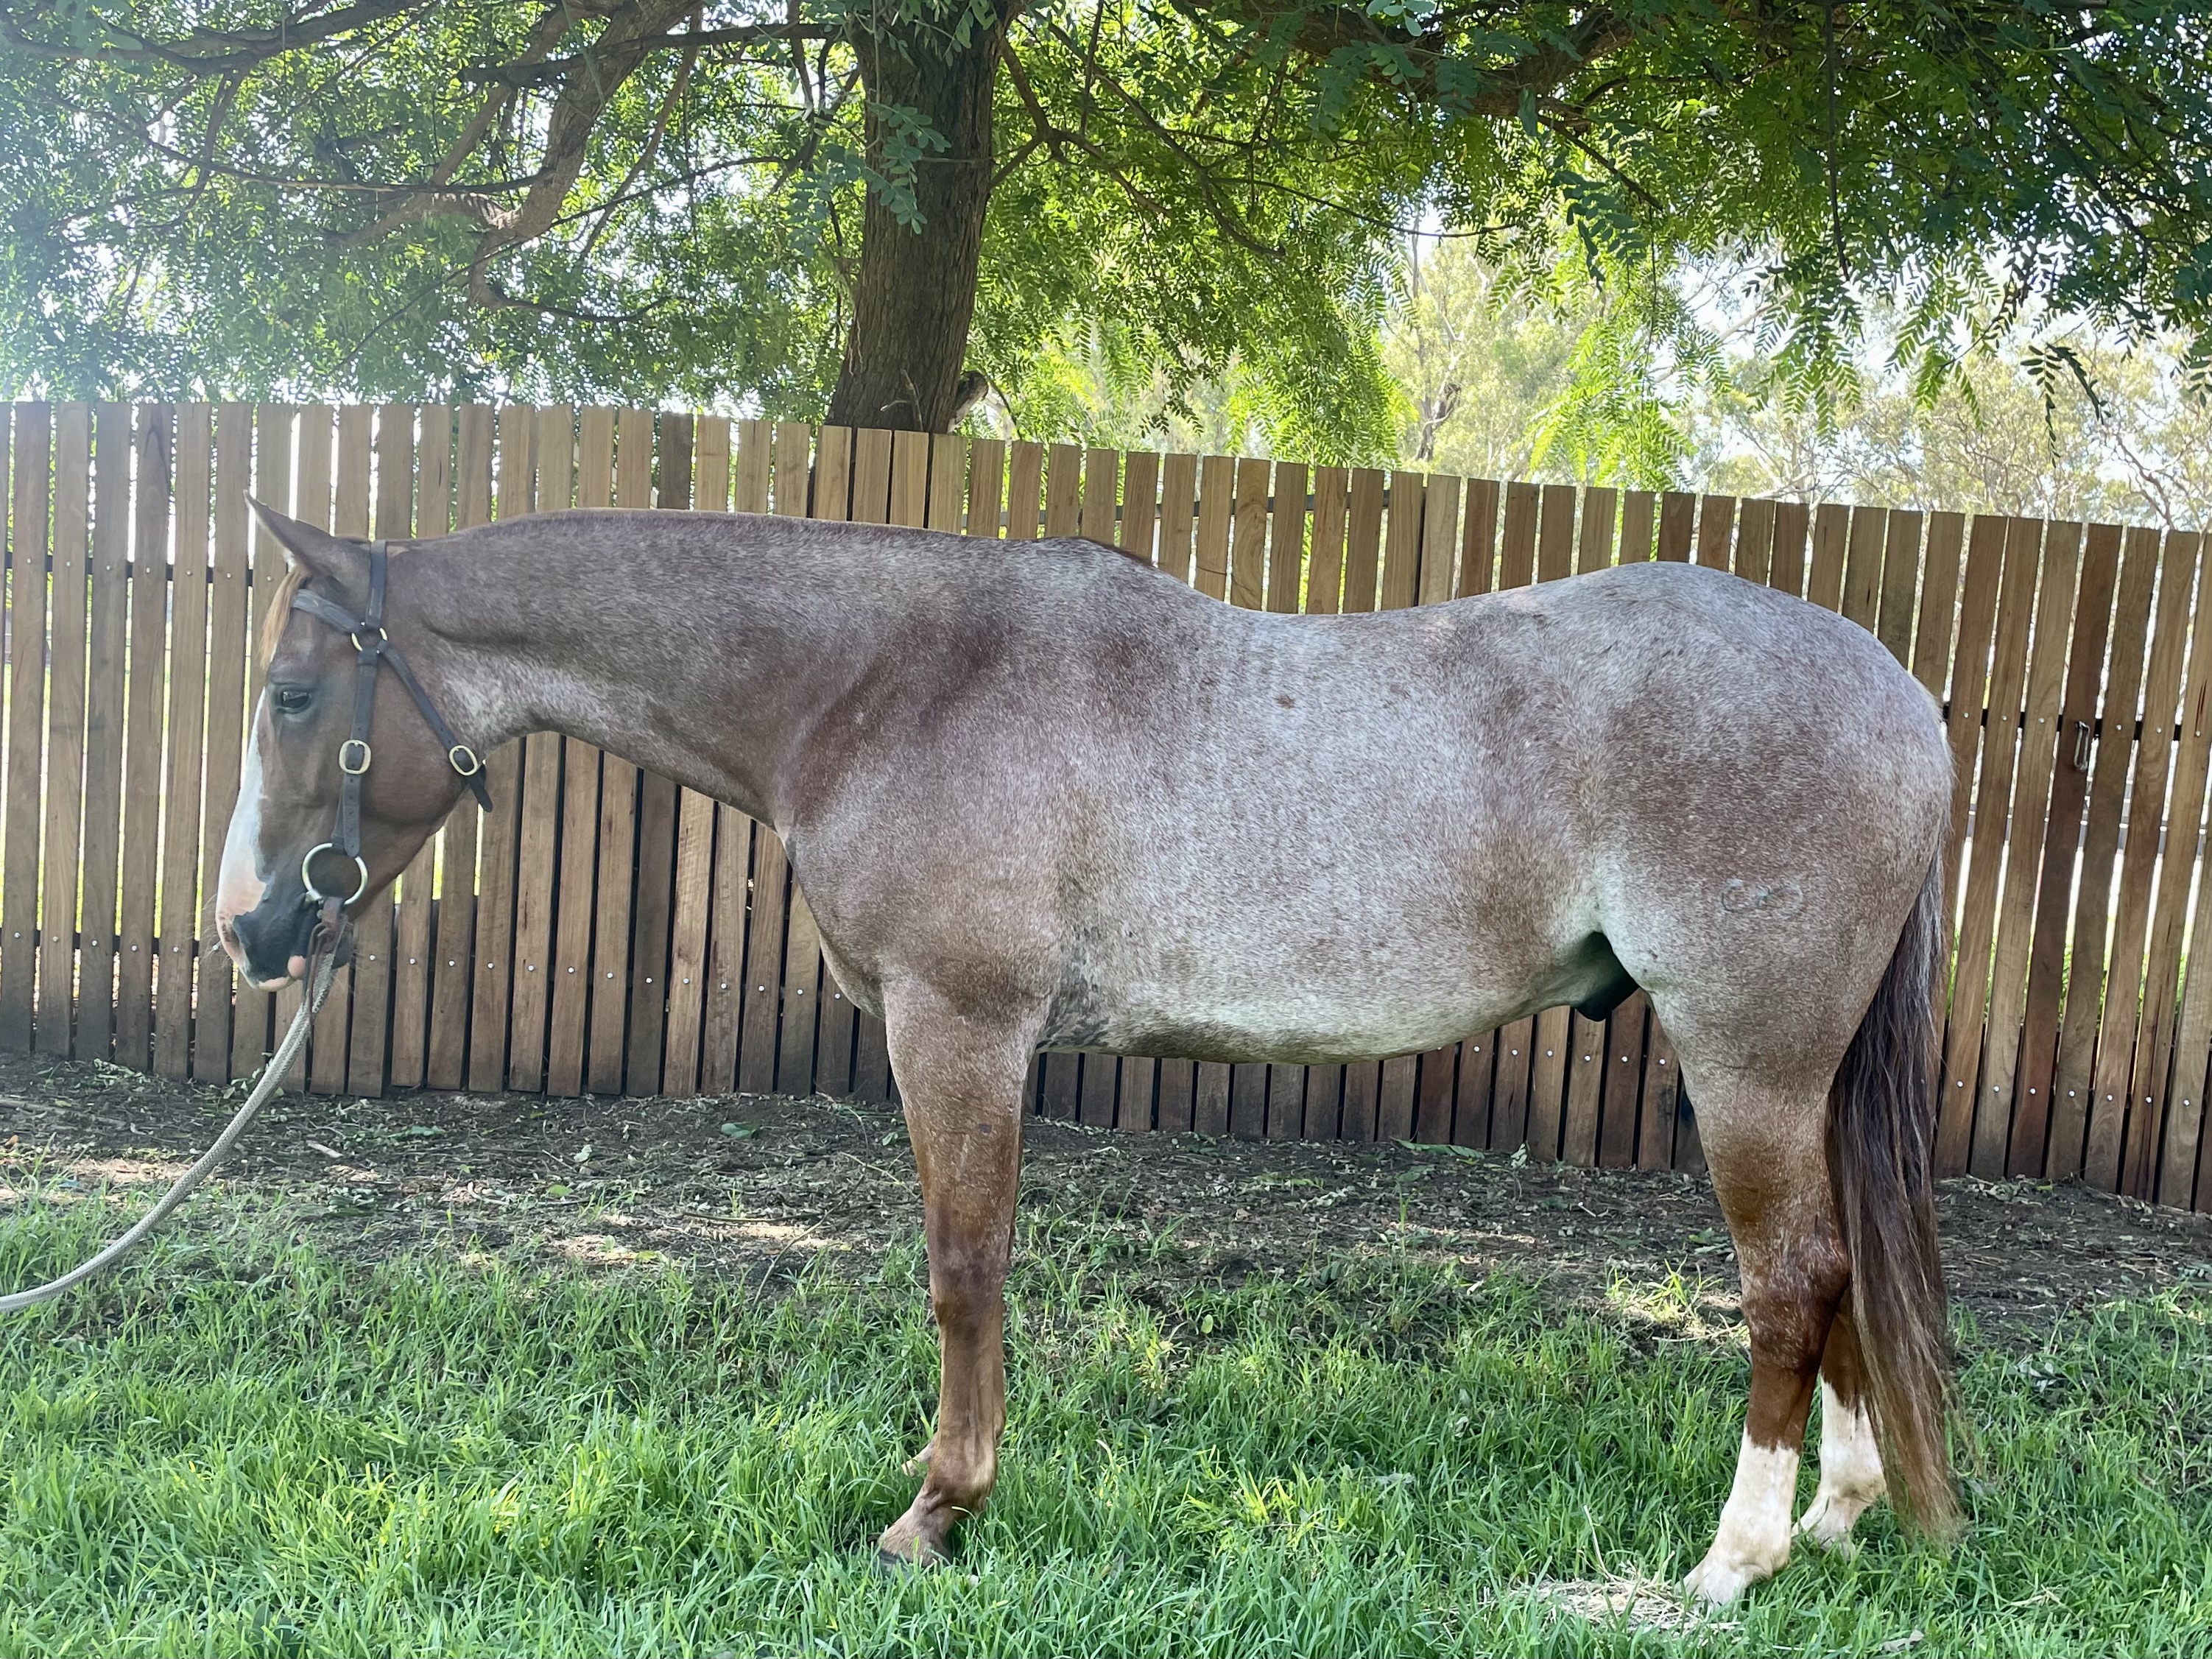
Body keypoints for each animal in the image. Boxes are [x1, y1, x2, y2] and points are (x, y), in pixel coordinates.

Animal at [215, 498, 1957, 1601]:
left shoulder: (958, 1023)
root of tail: (1904, 696)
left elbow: (962, 1265)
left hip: (1742, 1061)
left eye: (293, 692)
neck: (890, 683)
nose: (249, 927)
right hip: (1796, 1079)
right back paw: (1837, 1516)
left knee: (1789, 1281)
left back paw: (1730, 1559)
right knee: (1837, 1275)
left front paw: (935, 1508)